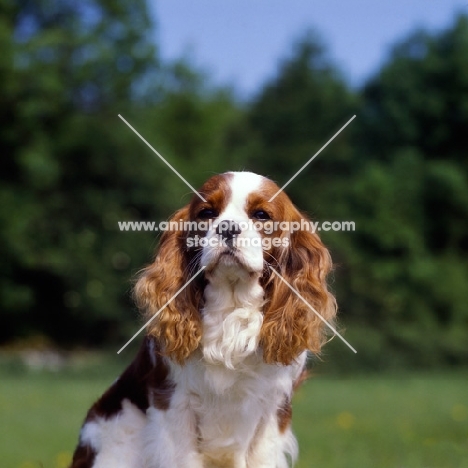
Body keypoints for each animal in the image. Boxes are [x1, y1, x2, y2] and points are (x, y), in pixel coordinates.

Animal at [70, 172, 336, 468]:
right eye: (207, 213)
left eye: (261, 215)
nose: (228, 228)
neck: (230, 310)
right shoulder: (174, 406)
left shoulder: (272, 410)